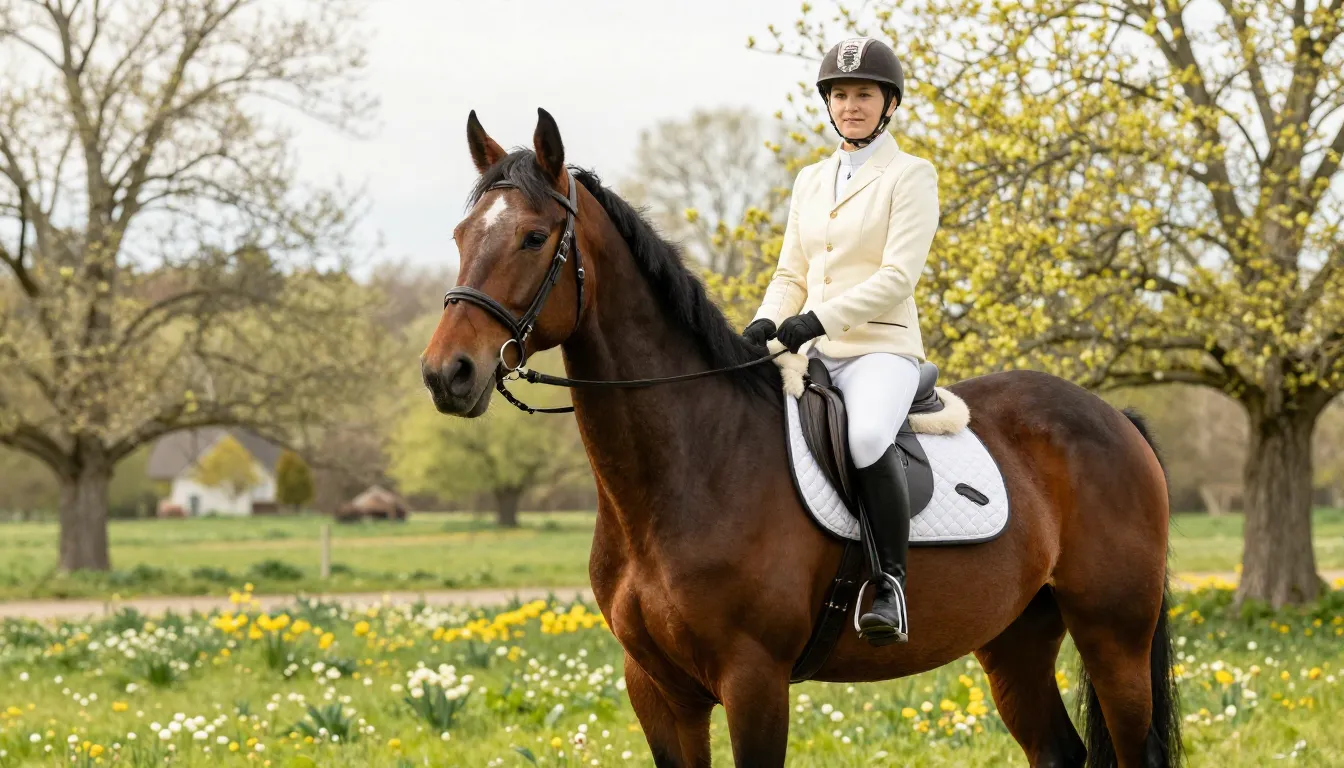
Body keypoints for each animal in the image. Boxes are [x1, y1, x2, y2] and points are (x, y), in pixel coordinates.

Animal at [421, 108, 1181, 768]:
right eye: (459, 237)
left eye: (533, 237)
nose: (446, 373)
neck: (688, 467)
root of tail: (1114, 417)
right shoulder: (658, 690)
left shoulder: (753, 681)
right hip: (1016, 638)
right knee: (1057, 750)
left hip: (1114, 637)